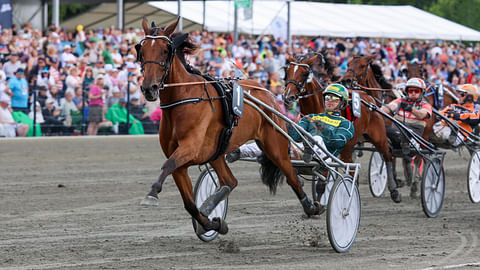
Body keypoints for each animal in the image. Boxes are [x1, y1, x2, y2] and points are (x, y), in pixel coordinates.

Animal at [137, 17, 320, 236]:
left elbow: (167, 165)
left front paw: (152, 193)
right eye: (141, 49)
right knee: (230, 181)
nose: (149, 88)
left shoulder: (189, 148)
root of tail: (267, 92)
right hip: (217, 153)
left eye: (165, 50)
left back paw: (312, 206)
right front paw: (212, 223)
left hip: (275, 145)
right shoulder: (182, 160)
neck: (184, 98)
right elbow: (189, 203)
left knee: (292, 176)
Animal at [282, 51, 402, 201]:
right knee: (353, 171)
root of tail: (369, 100)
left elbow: (322, 180)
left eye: (304, 73)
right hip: (349, 148)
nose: (288, 96)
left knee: (387, 154)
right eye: (288, 71)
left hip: (378, 137)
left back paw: (394, 190)